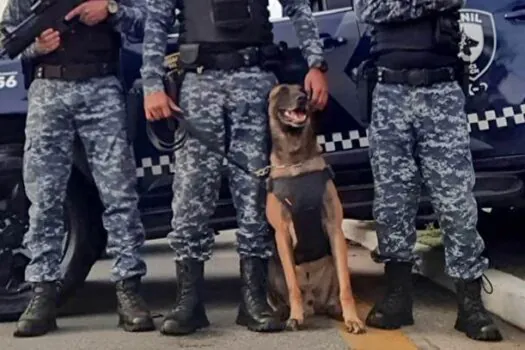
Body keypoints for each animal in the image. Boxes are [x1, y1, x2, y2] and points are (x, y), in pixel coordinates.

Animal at [266, 82, 364, 334]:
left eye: (303, 90)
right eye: (282, 90)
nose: (302, 98)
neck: (296, 162)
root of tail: (313, 303)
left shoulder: (334, 228)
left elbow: (346, 286)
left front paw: (353, 318)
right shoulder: (282, 234)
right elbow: (292, 285)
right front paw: (295, 316)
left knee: (337, 290)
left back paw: (337, 311)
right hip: (273, 268)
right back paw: (284, 312)